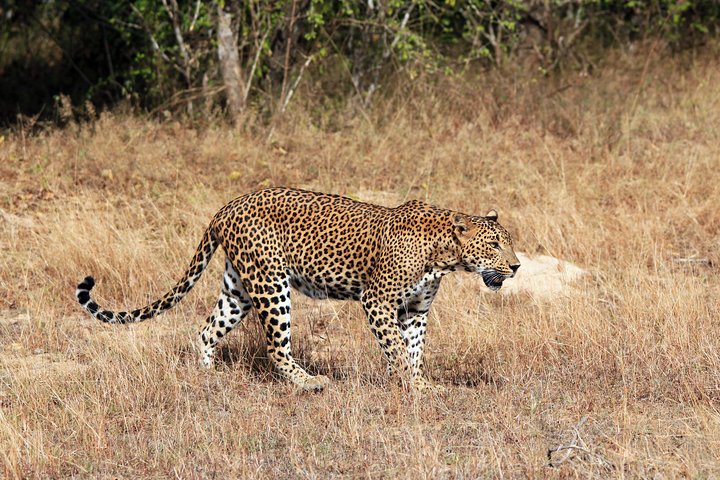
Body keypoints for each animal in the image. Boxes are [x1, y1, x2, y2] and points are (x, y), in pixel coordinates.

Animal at [76, 187, 520, 392]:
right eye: (496, 244)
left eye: (508, 242)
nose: (516, 267)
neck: (445, 255)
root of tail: (227, 206)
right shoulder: (376, 301)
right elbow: (396, 346)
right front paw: (413, 385)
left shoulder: (414, 310)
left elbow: (412, 348)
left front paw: (416, 383)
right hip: (272, 285)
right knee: (276, 347)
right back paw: (310, 383)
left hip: (239, 287)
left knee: (206, 330)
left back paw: (207, 376)